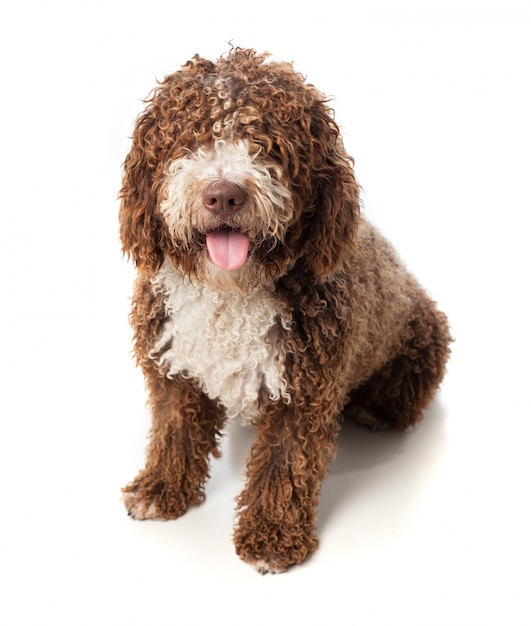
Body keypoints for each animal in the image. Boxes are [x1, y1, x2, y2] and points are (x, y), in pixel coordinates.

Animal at [118, 46, 450, 572]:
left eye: (267, 144)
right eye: (191, 137)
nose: (224, 194)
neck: (230, 293)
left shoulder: (304, 393)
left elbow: (284, 465)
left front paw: (271, 537)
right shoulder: (174, 371)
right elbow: (175, 432)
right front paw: (160, 489)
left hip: (418, 354)